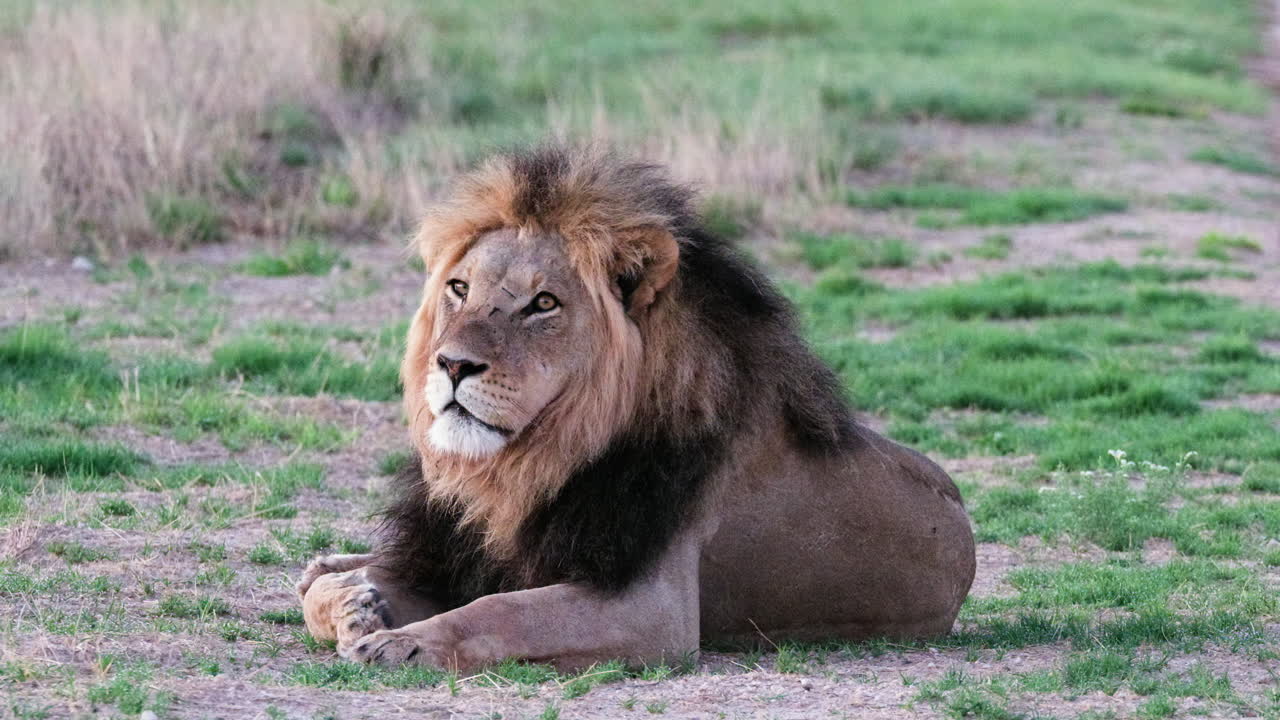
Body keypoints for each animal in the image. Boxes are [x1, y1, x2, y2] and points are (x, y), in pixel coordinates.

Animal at [295, 145, 976, 671]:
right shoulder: (469, 556)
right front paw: (357, 604)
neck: (527, 466)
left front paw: (403, 643)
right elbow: (323, 591)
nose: (453, 365)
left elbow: (505, 610)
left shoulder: (654, 610)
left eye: (543, 304)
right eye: (459, 289)